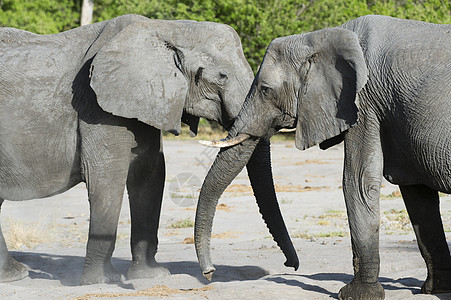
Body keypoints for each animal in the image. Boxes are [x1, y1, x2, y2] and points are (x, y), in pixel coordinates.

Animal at [0, 14, 296, 284]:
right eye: (221, 76)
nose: (209, 274)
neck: (167, 27)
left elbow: (150, 176)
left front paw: (150, 276)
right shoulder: (97, 107)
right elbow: (107, 178)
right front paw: (102, 282)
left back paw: (14, 275)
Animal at [196, 14, 451, 300]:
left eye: (265, 90)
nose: (209, 273)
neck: (319, 37)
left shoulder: (363, 102)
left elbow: (358, 182)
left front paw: (354, 295)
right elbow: (417, 195)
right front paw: (434, 289)